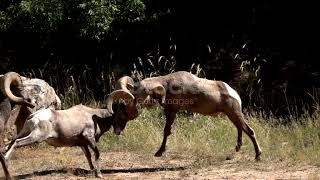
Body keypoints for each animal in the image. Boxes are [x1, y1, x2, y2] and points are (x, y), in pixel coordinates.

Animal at [1, 89, 134, 179]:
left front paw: (92, 171)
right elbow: (96, 154)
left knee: (11, 143)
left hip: (25, 133)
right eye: (122, 114)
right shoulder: (89, 138)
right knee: (16, 143)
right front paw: (99, 174)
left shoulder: (83, 144)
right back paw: (6, 163)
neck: (97, 118)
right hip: (35, 137)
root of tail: (34, 116)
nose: (119, 131)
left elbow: (88, 157)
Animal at [116, 71, 262, 160]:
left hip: (234, 113)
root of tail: (236, 95)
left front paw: (159, 152)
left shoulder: (172, 111)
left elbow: (166, 131)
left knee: (249, 131)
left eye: (144, 93)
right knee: (240, 129)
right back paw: (237, 149)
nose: (134, 104)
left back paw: (258, 156)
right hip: (231, 115)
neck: (169, 86)